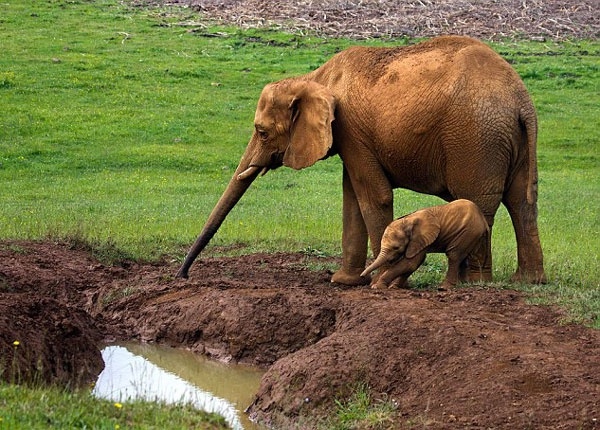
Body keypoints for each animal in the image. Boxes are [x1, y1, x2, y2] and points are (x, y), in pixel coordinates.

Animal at [360, 200, 488, 290]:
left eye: (396, 248)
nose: (362, 277)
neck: (407, 220)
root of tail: (483, 219)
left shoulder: (420, 239)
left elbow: (411, 262)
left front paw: (377, 287)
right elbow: (413, 264)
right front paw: (394, 287)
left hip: (469, 231)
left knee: (454, 255)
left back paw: (444, 288)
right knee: (462, 258)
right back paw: (461, 284)